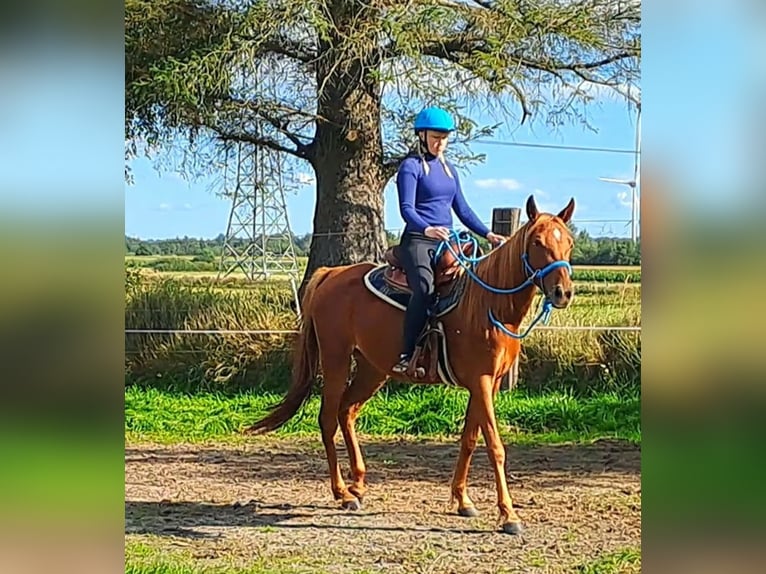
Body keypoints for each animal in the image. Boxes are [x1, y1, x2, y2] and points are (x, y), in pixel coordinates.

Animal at [244, 195, 576, 535]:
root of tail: (330, 274)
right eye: (537, 242)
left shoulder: (488, 383)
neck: (488, 304)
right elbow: (495, 445)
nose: (563, 293)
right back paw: (342, 493)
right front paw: (509, 515)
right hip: (336, 358)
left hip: (372, 369)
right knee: (327, 419)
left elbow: (469, 439)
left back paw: (358, 485)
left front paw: (462, 500)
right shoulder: (481, 381)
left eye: (569, 243)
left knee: (346, 411)